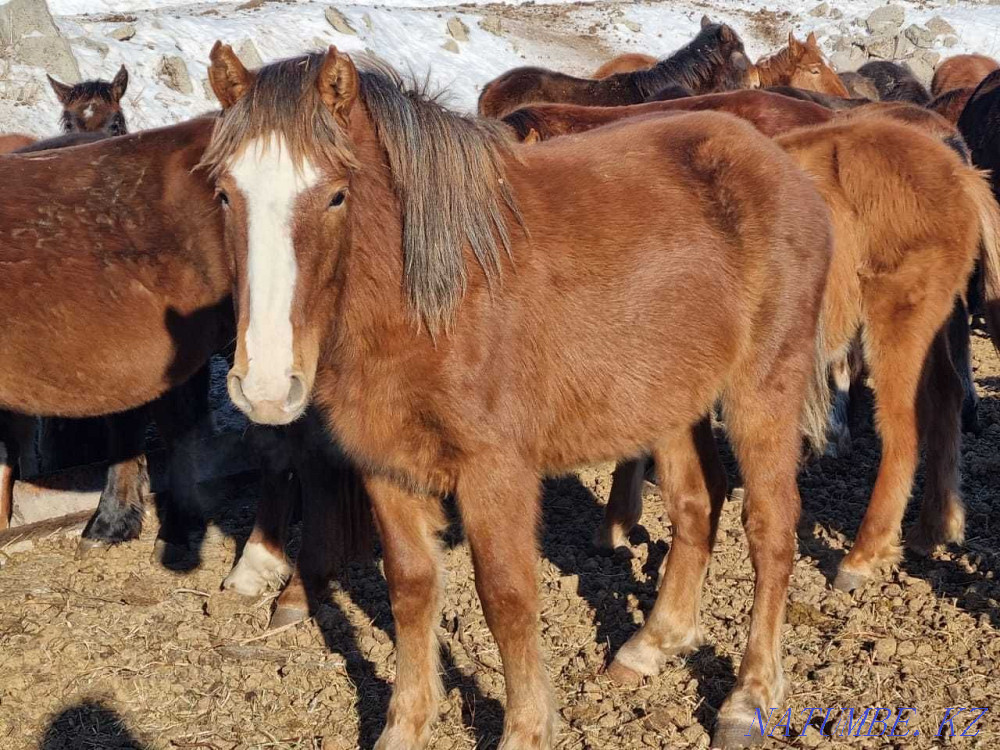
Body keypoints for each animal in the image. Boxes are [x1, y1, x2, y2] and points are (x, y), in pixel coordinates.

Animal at [206, 44, 833, 750]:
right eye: (224, 194)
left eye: (336, 195)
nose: (264, 386)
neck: (434, 303)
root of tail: (783, 167)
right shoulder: (386, 468)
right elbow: (411, 589)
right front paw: (405, 725)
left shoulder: (495, 472)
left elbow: (506, 597)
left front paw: (527, 728)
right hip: (674, 399)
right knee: (699, 503)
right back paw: (651, 645)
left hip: (763, 389)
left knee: (771, 526)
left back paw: (747, 699)